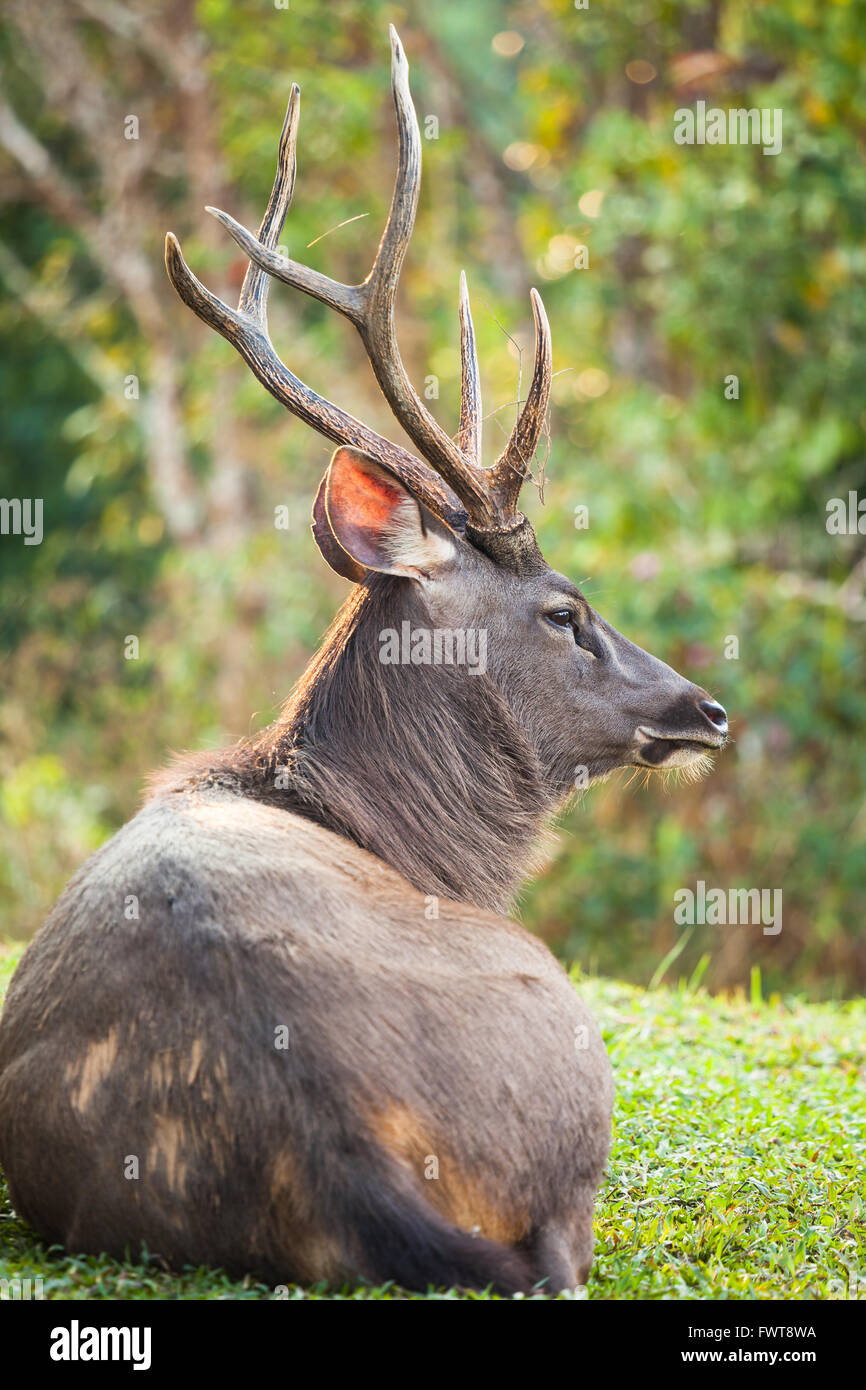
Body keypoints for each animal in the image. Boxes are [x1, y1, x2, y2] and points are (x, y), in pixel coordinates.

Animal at [0, 29, 733, 1289]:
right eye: (565, 609)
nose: (705, 706)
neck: (396, 833)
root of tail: (327, 1129)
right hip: (564, 1040)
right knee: (556, 1247)